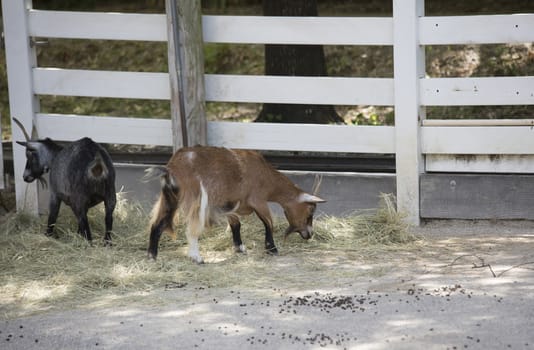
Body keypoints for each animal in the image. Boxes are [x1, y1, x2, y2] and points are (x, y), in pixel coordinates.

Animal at [149, 145, 328, 262]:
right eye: (310, 212)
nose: (309, 234)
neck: (266, 175)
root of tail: (172, 167)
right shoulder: (258, 200)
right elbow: (268, 223)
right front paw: (272, 249)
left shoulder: (231, 203)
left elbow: (236, 225)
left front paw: (240, 248)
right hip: (197, 198)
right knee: (191, 229)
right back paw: (197, 257)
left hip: (170, 198)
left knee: (157, 223)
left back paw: (152, 256)